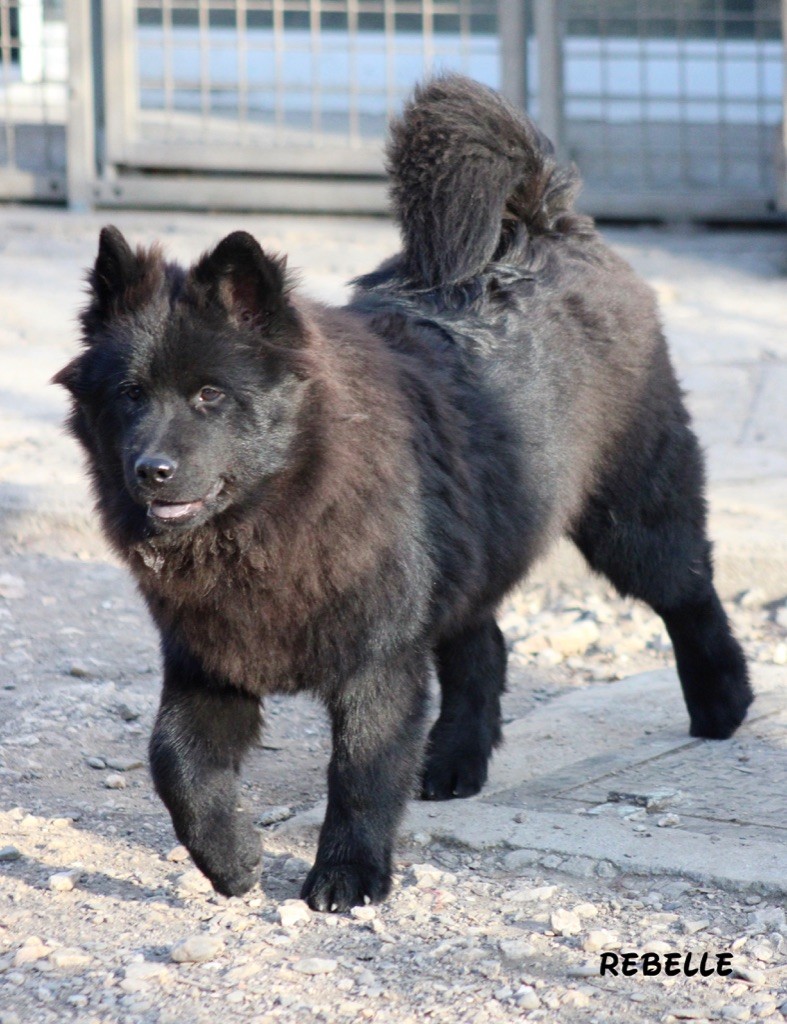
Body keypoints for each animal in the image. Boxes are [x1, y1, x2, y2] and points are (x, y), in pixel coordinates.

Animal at [53, 79, 749, 913]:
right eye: (129, 395)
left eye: (210, 396)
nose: (150, 469)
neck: (276, 510)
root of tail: (544, 226)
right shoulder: (211, 657)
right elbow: (174, 762)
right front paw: (232, 861)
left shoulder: (376, 659)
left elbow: (358, 772)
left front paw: (347, 876)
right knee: (483, 645)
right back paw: (452, 763)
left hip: (629, 518)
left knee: (688, 593)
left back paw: (721, 704)